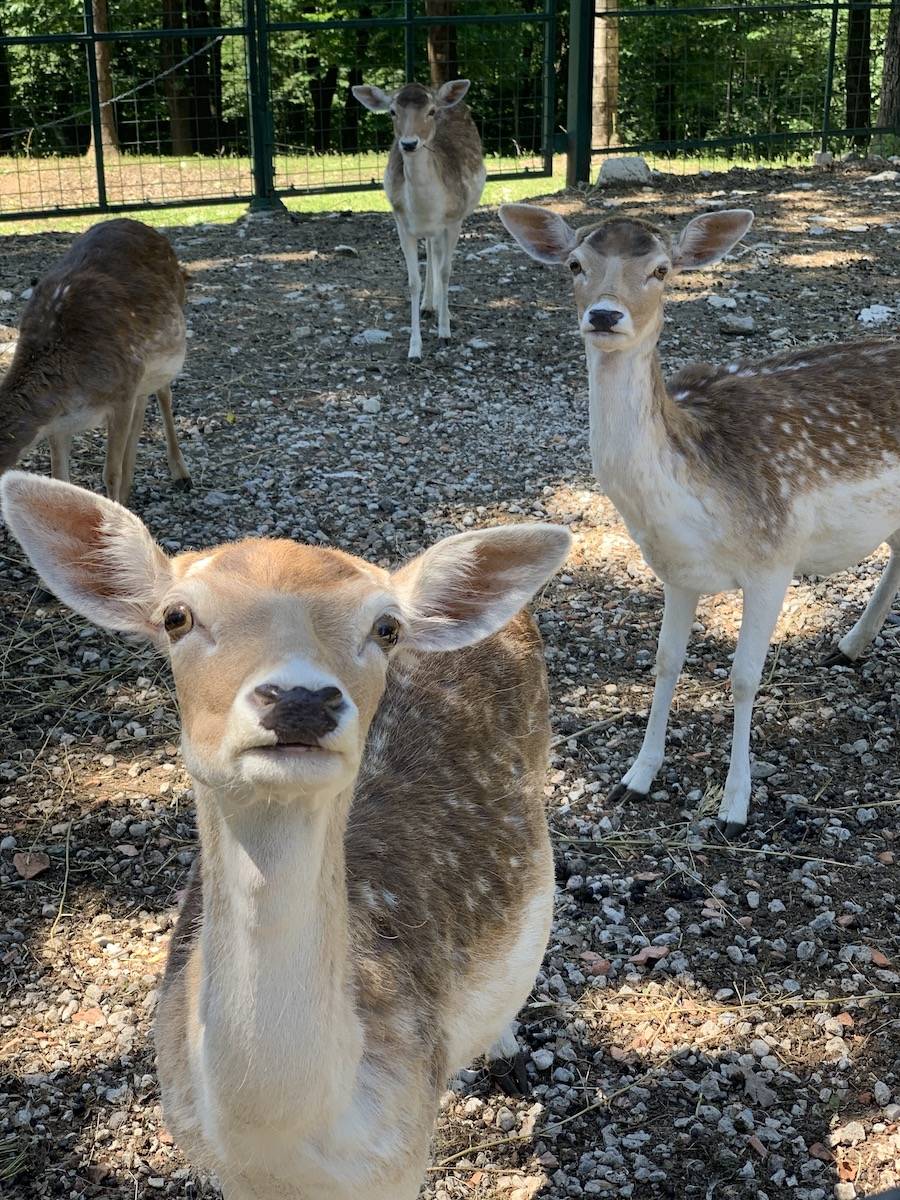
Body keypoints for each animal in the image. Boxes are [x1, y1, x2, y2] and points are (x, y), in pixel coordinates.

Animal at [0, 218, 190, 504]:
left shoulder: (121, 393)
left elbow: (110, 472)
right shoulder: (58, 423)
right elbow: (60, 478)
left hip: (161, 359)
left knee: (164, 396)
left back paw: (181, 474)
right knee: (143, 405)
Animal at [352, 78, 487, 357]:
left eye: (431, 111)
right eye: (392, 112)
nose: (409, 143)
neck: (427, 207)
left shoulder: (454, 220)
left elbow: (446, 271)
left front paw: (445, 332)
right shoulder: (402, 222)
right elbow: (413, 281)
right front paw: (414, 348)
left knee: (438, 255)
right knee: (432, 250)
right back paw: (428, 305)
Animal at [501, 199, 900, 835]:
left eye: (662, 270)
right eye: (574, 264)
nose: (604, 314)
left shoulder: (774, 557)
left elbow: (743, 678)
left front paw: (735, 806)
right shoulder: (675, 571)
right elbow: (666, 663)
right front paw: (636, 777)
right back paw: (849, 645)